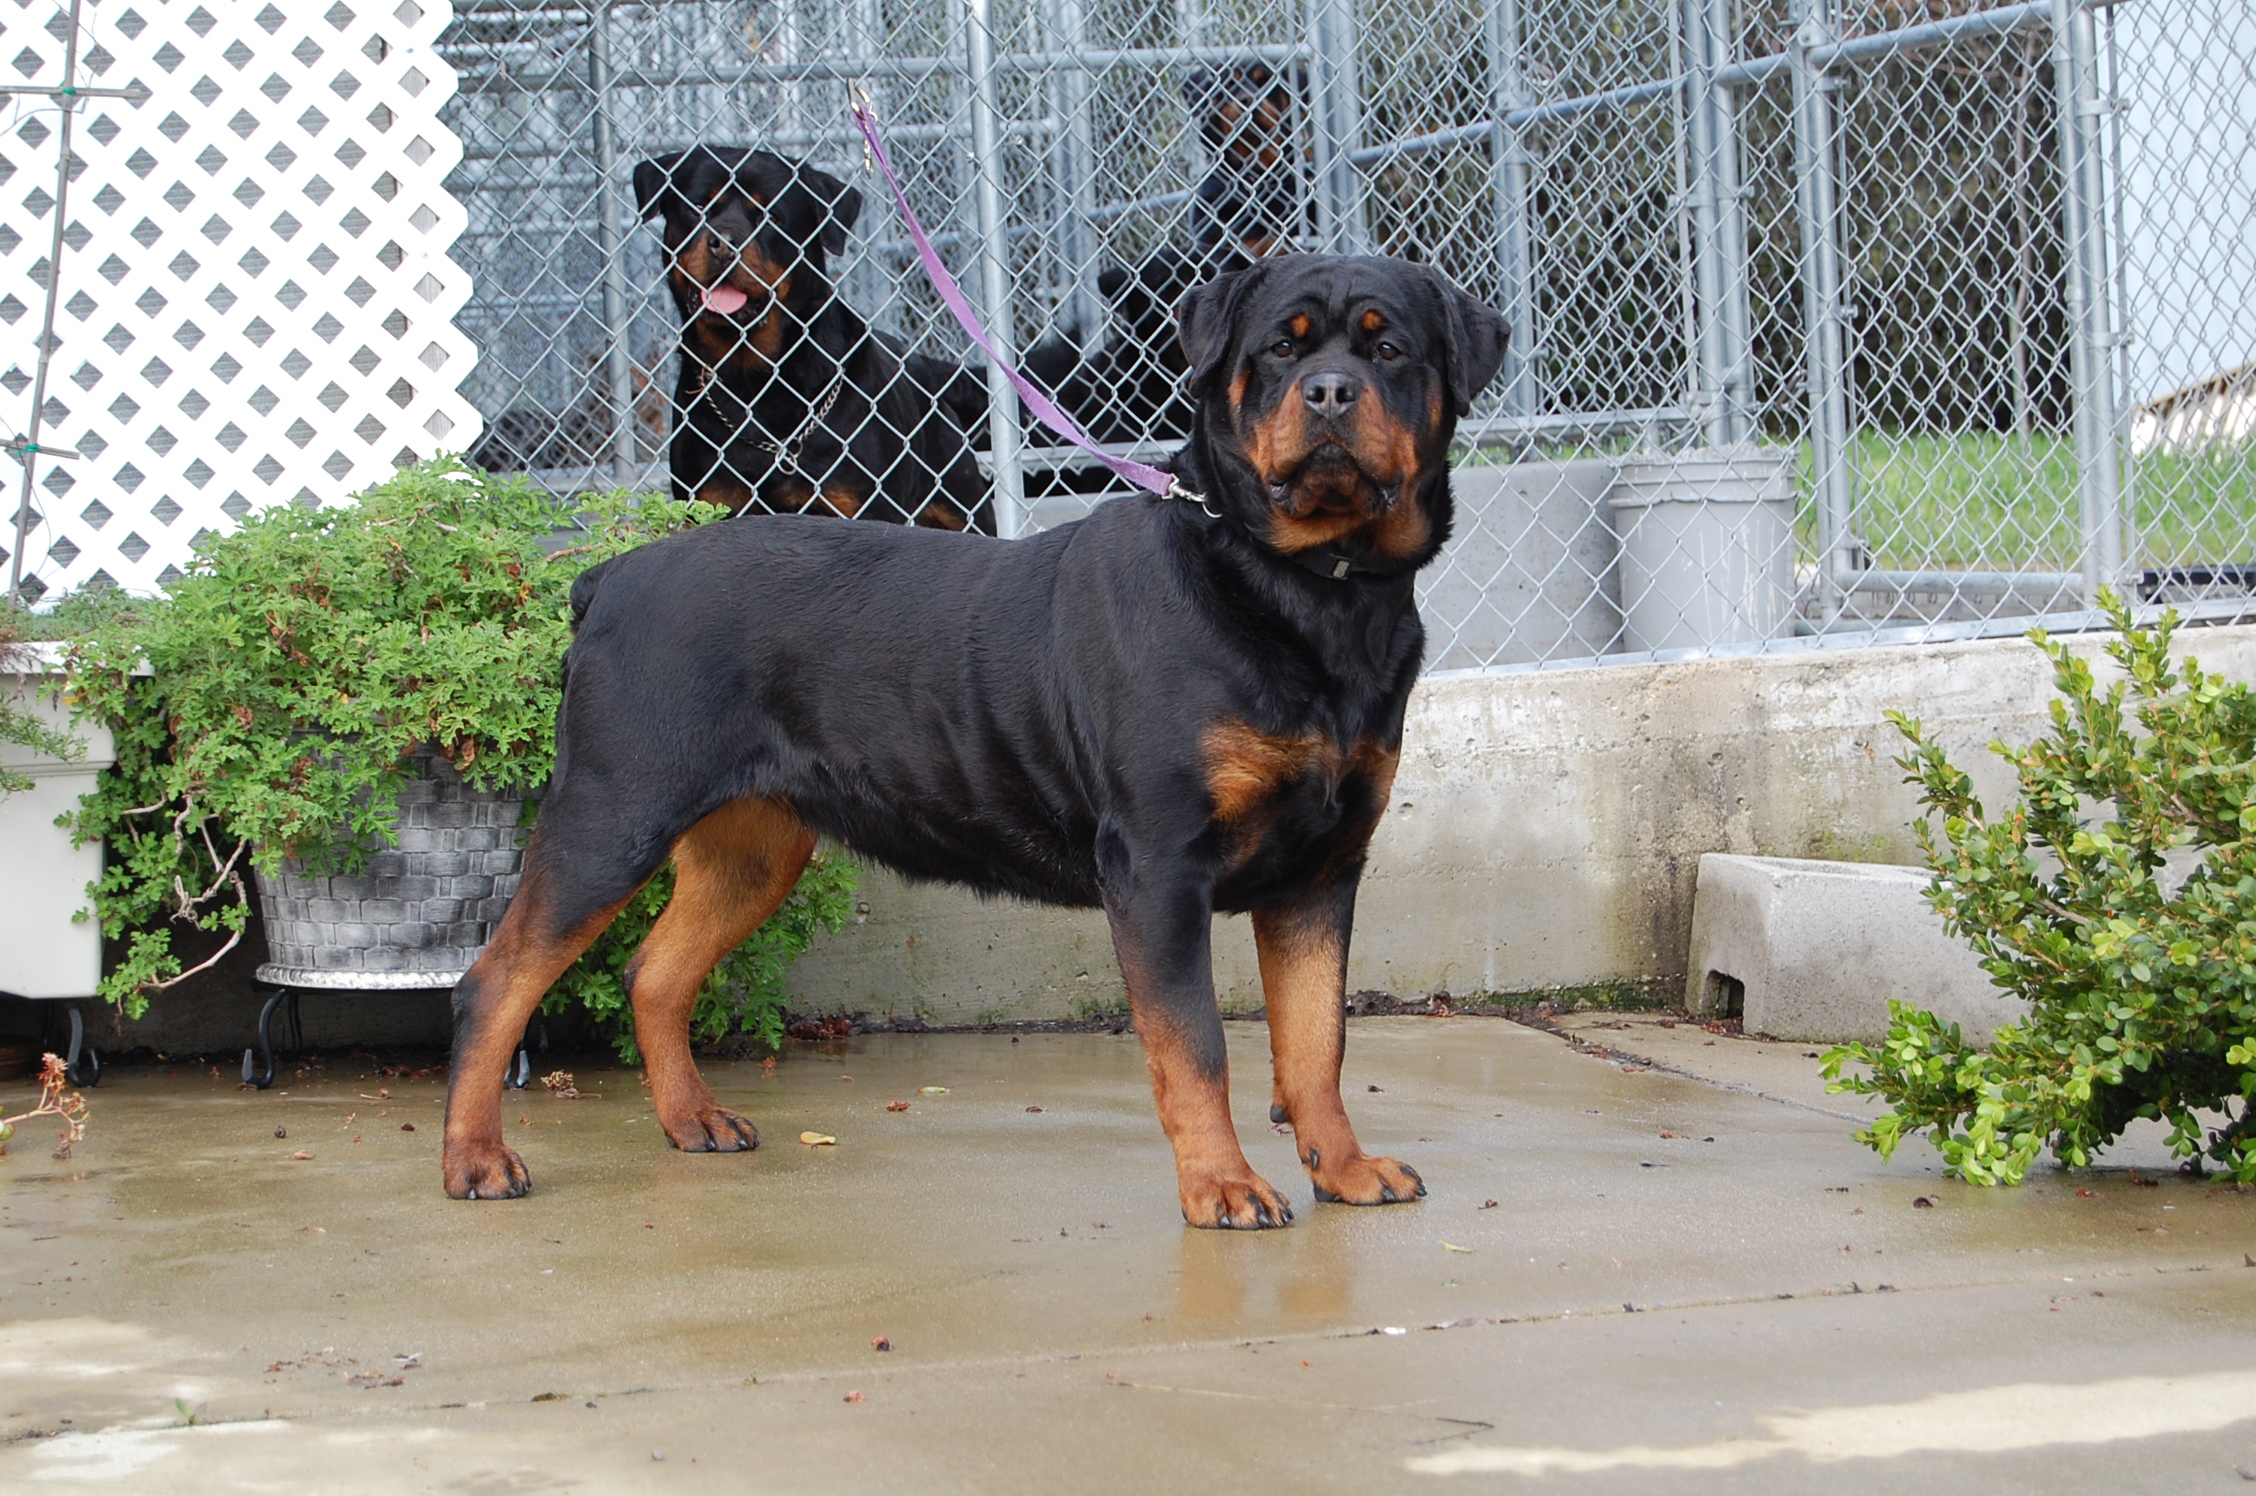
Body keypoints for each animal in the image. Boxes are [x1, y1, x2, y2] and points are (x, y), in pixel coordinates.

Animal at [439, 254, 1497, 1227]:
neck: (1306, 592)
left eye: (1389, 350)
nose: (1329, 392)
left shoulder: (1322, 870)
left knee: (654, 974)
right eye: (1281, 348)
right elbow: (1194, 1046)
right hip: (613, 812)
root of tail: (607, 578)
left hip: (754, 846)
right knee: (496, 979)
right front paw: (1222, 1186)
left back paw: (692, 1119)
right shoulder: (1159, 867)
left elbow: (1318, 1041)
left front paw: (1346, 1168)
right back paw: (478, 1160)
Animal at [636, 146, 988, 532]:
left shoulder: (865, 509)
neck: (753, 381)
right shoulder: (708, 506)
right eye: (697, 207)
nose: (724, 243)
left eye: (771, 216)